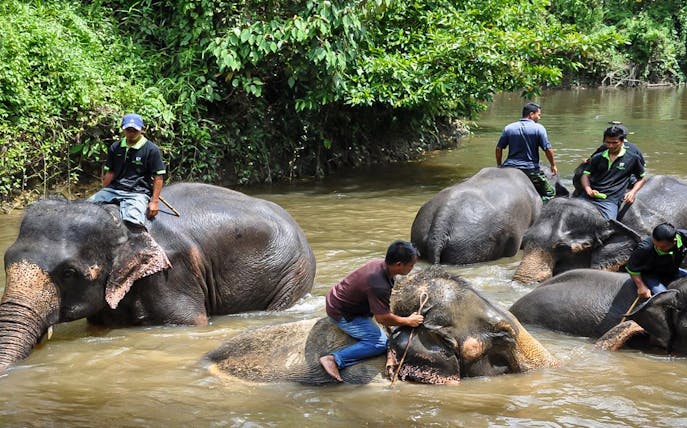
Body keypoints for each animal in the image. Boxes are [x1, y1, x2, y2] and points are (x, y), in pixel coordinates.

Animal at [0, 182, 316, 372]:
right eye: (6, 261)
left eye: (68, 273)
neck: (118, 219)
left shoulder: (172, 274)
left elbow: (191, 322)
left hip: (293, 273)